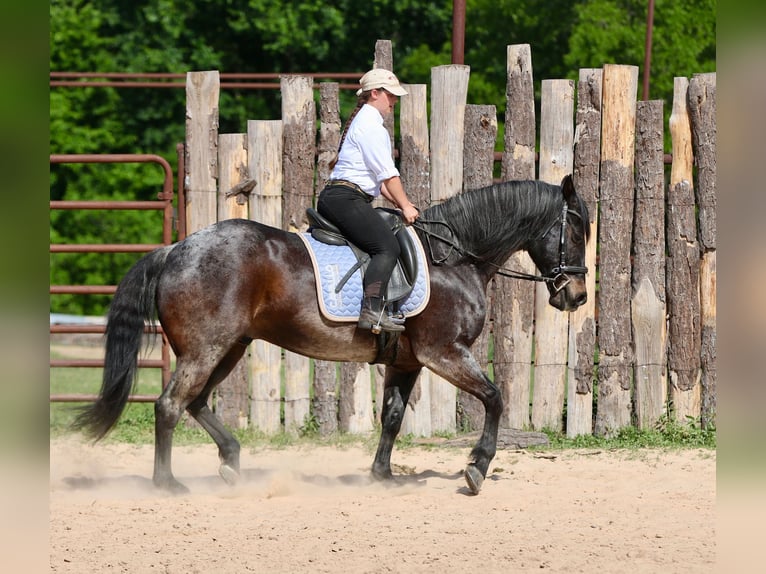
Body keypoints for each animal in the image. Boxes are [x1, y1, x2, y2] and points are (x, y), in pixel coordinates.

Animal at [73, 174, 590, 495]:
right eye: (576, 231)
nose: (578, 296)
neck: (454, 257)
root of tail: (177, 248)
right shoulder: (444, 352)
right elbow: (495, 398)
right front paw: (477, 467)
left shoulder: (407, 361)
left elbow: (392, 418)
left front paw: (382, 476)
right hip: (206, 348)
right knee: (169, 406)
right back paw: (168, 484)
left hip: (230, 347)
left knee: (195, 402)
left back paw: (231, 462)